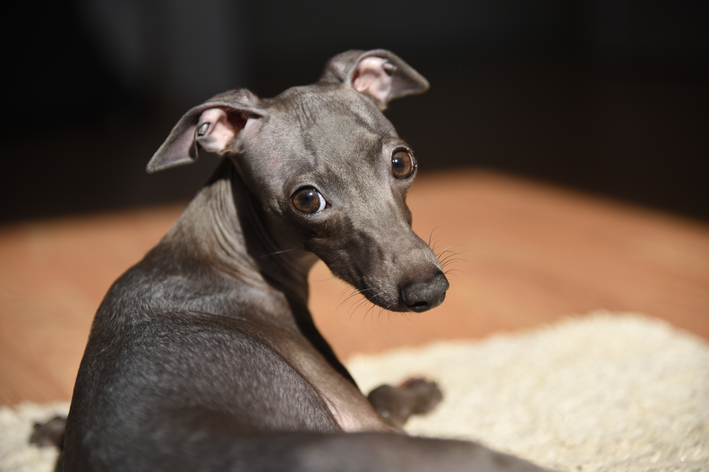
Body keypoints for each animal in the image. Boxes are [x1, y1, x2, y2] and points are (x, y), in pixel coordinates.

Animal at [55, 49, 548, 470]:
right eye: (307, 199)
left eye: (401, 161)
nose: (429, 290)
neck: (230, 258)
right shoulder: (364, 419)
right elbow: (382, 395)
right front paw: (419, 390)